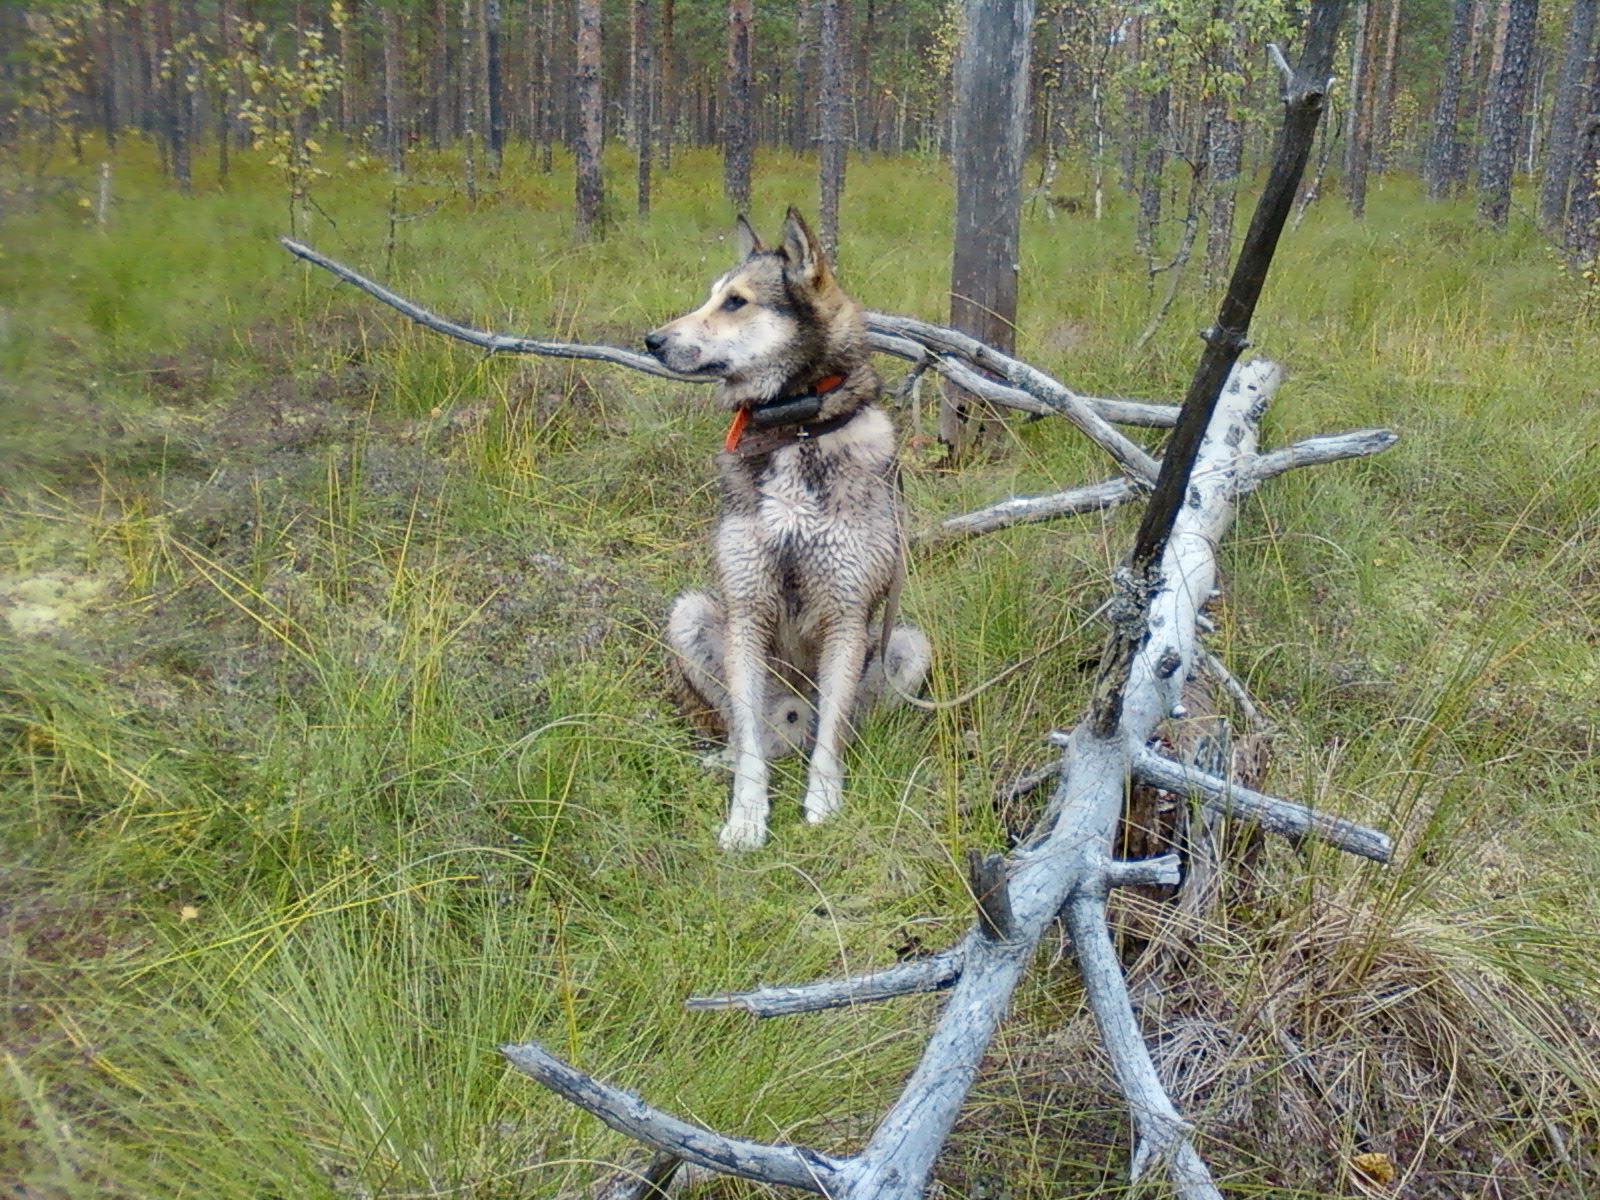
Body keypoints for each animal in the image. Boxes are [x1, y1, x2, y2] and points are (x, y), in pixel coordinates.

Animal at [644, 208, 931, 851]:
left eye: (736, 302)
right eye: (711, 296)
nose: (652, 340)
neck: (795, 430)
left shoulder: (848, 615)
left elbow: (830, 739)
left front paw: (824, 803)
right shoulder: (745, 610)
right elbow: (750, 744)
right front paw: (746, 818)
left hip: (906, 643)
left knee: (830, 731)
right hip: (692, 615)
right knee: (751, 735)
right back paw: (729, 759)